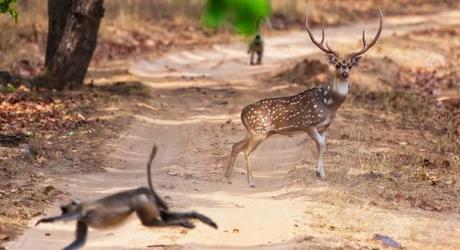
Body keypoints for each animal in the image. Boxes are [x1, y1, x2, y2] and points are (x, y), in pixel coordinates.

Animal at [36, 145, 217, 250]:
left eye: (63, 210)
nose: (62, 214)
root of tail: (138, 191)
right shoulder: (81, 218)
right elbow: (79, 242)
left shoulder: (79, 212)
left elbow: (63, 220)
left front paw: (44, 221)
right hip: (148, 202)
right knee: (164, 216)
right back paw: (193, 218)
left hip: (142, 203)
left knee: (152, 222)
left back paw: (182, 222)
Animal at [225, 8, 382, 187]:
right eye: (337, 64)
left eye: (349, 65)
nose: (344, 73)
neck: (329, 104)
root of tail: (242, 113)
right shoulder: (308, 124)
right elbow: (320, 143)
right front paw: (318, 172)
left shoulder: (324, 127)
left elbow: (323, 145)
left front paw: (322, 174)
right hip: (259, 130)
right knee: (246, 151)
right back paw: (251, 181)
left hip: (254, 131)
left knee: (236, 145)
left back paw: (227, 177)